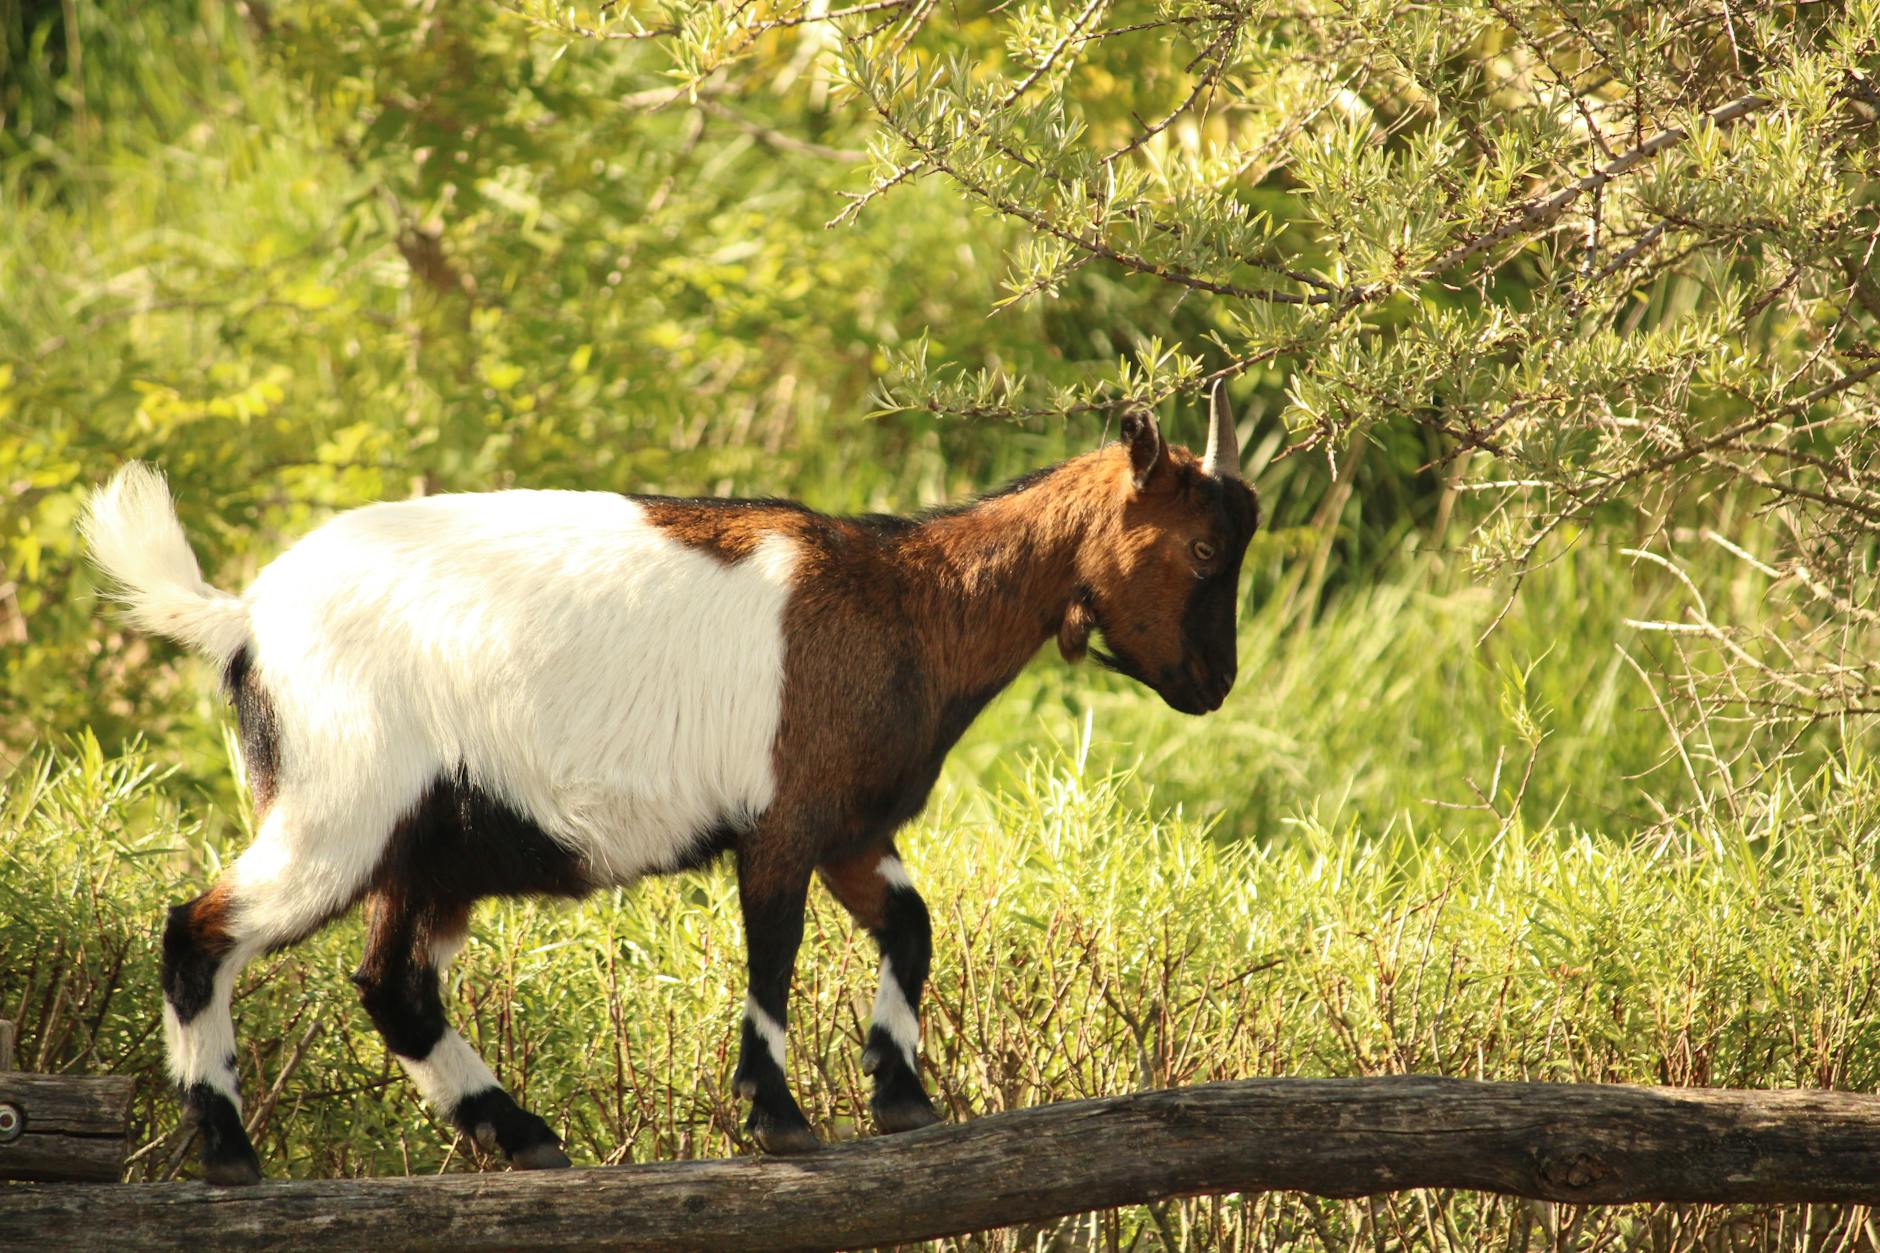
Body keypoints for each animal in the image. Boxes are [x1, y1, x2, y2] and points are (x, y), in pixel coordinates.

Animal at [82, 388, 1258, 1185]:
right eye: (1205, 547)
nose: (1214, 684)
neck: (905, 600)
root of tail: (241, 617)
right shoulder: (784, 818)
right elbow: (774, 956)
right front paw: (781, 1117)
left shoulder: (851, 824)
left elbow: (913, 926)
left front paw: (900, 1093)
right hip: (340, 804)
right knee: (200, 929)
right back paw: (230, 1152)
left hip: (430, 845)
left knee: (393, 983)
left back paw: (525, 1136)